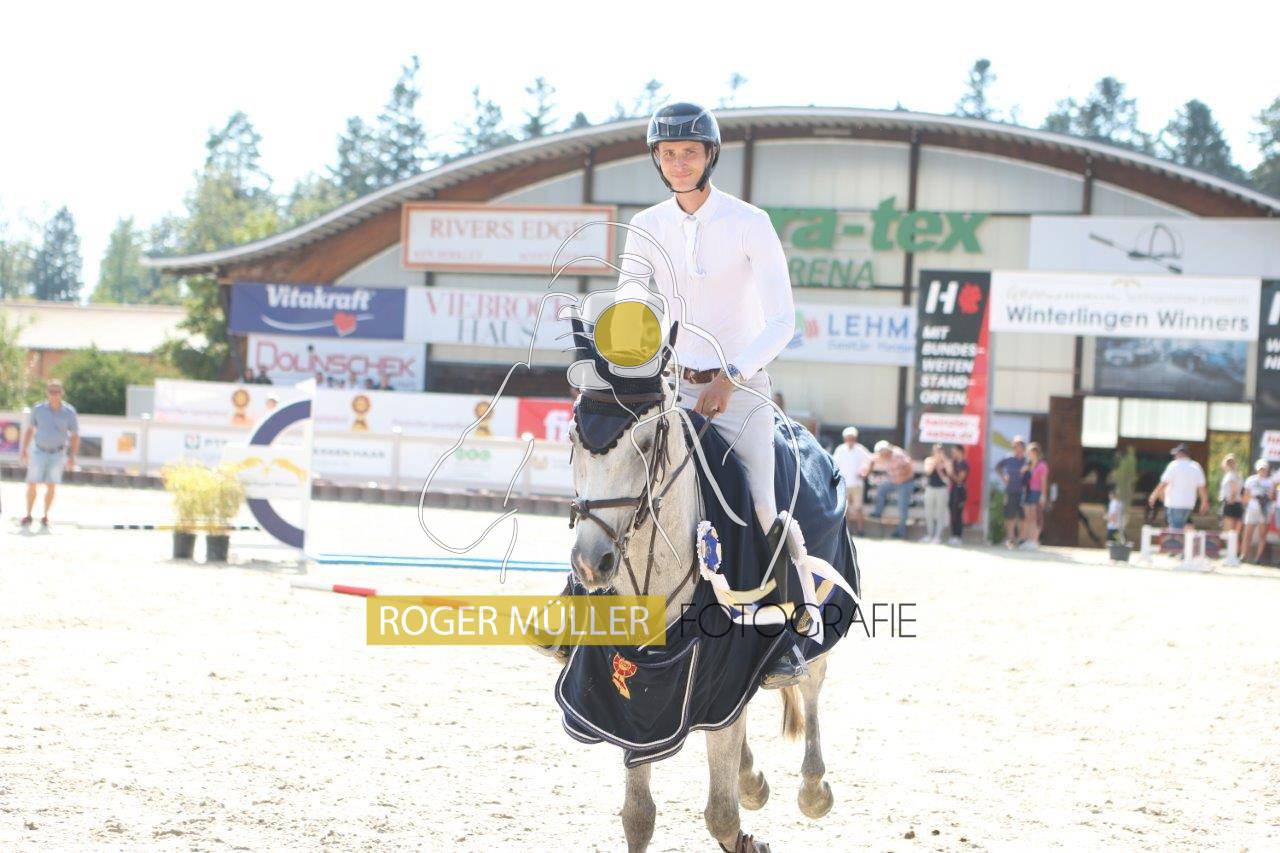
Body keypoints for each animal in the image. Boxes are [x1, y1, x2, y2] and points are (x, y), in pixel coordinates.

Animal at [566, 383, 835, 853]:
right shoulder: (637, 706)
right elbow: (638, 816)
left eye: (645, 443)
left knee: (812, 683)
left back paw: (813, 788)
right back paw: (751, 779)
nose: (589, 562)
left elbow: (722, 817)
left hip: (814, 623)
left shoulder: (721, 672)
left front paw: (749, 840)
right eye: (572, 440)